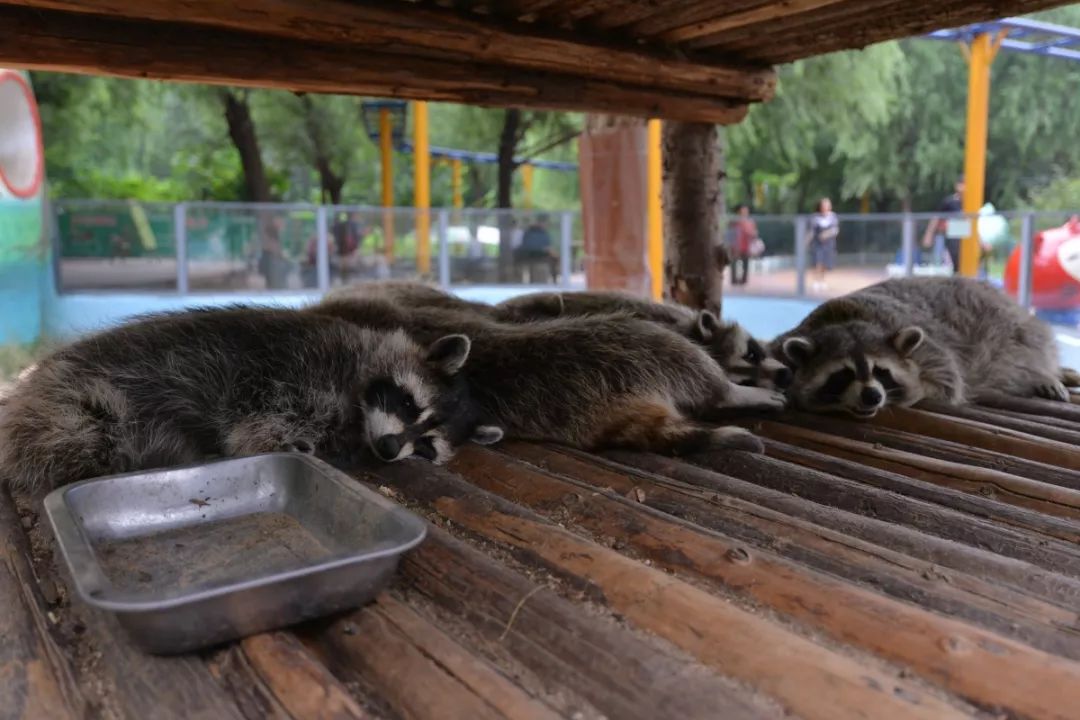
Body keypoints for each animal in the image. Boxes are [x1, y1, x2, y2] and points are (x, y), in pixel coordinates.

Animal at [0, 304, 496, 490]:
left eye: (427, 446)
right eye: (409, 403)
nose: (390, 447)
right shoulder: (299, 366)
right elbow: (254, 420)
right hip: (77, 400)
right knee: (77, 440)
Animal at [773, 278, 1075, 418]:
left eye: (881, 371)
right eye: (843, 374)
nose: (872, 396)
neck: (845, 318)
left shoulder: (931, 351)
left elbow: (948, 383)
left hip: (1014, 328)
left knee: (1028, 350)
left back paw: (1046, 374)